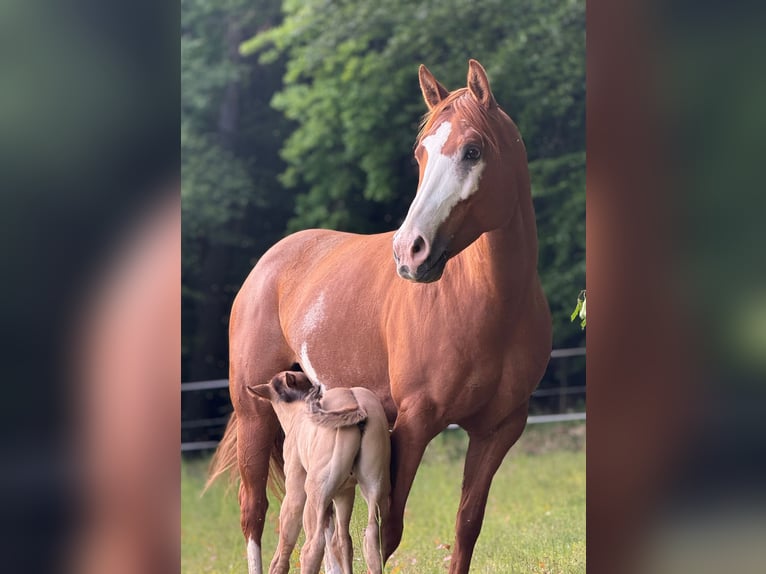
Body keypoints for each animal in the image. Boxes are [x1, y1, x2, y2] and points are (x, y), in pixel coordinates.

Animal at [247, 371, 390, 574]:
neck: (297, 412)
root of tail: (355, 403)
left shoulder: (295, 491)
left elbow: (285, 544)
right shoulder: (344, 492)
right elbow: (343, 542)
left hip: (316, 492)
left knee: (313, 546)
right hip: (375, 487)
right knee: (369, 536)